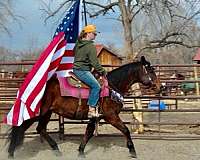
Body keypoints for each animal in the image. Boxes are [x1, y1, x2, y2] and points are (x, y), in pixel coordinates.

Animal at [6, 55, 160, 158]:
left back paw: (56, 150)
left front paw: (80, 151)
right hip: (38, 113)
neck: (111, 87)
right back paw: (11, 153)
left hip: (47, 113)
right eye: (150, 70)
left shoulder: (95, 117)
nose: (160, 86)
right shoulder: (111, 116)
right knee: (20, 127)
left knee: (40, 129)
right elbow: (126, 130)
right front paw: (132, 151)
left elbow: (88, 132)